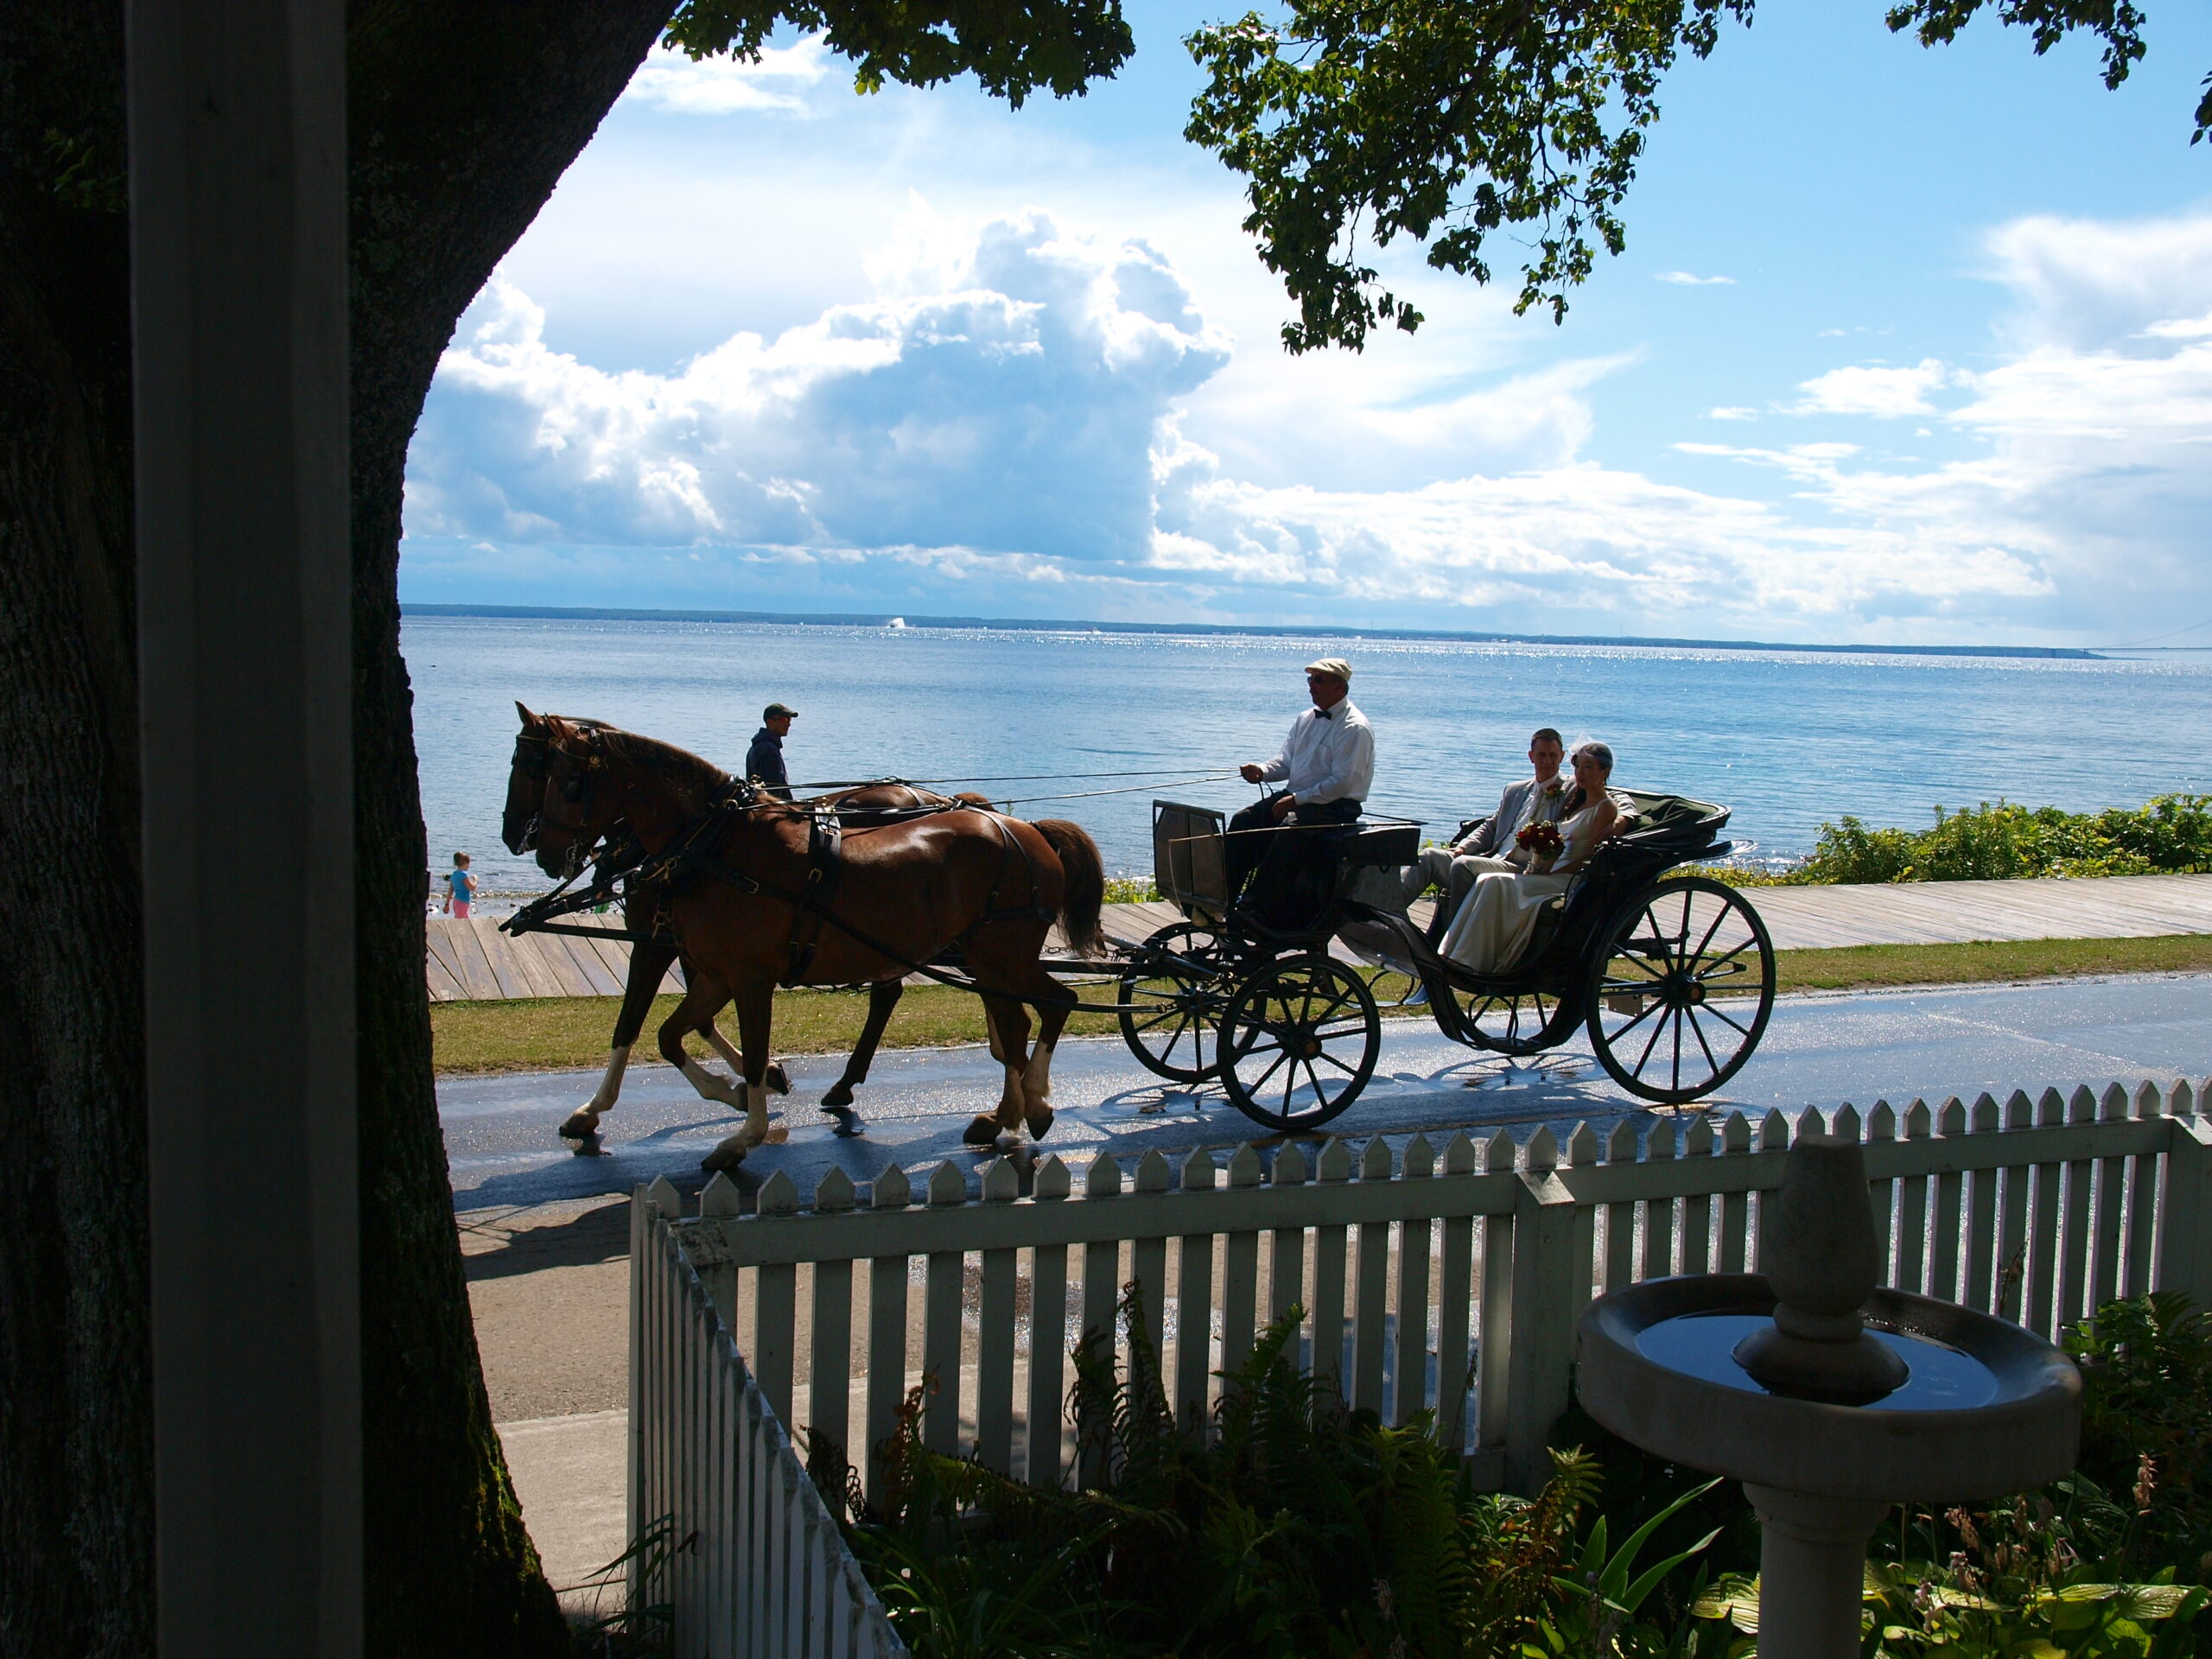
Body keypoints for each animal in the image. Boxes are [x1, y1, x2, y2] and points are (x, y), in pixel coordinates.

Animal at [519, 712, 1106, 1167]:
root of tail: (1025, 829)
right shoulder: (711, 973)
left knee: (1054, 1004)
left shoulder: (742, 976)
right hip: (989, 959)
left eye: (567, 781)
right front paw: (730, 1093)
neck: (715, 844)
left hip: (1002, 954)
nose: (536, 847)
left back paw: (1032, 1102)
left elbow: (744, 1048)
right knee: (1015, 1023)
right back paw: (1008, 1113)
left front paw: (745, 1132)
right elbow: (666, 1035)